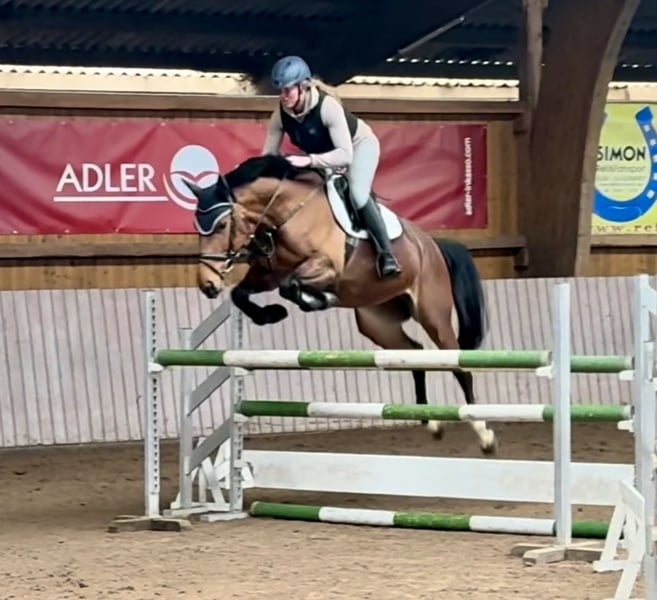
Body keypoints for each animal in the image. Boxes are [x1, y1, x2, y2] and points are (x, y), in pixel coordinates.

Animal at [185, 153, 496, 454]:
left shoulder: (326, 267)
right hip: (376, 321)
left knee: (458, 365)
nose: (207, 284)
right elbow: (241, 294)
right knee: (414, 353)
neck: (287, 214)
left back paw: (484, 433)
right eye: (196, 228)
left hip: (433, 315)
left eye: (221, 225)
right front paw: (272, 314)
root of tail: (431, 244)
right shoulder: (266, 274)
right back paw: (431, 421)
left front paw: (319, 299)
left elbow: (290, 286)